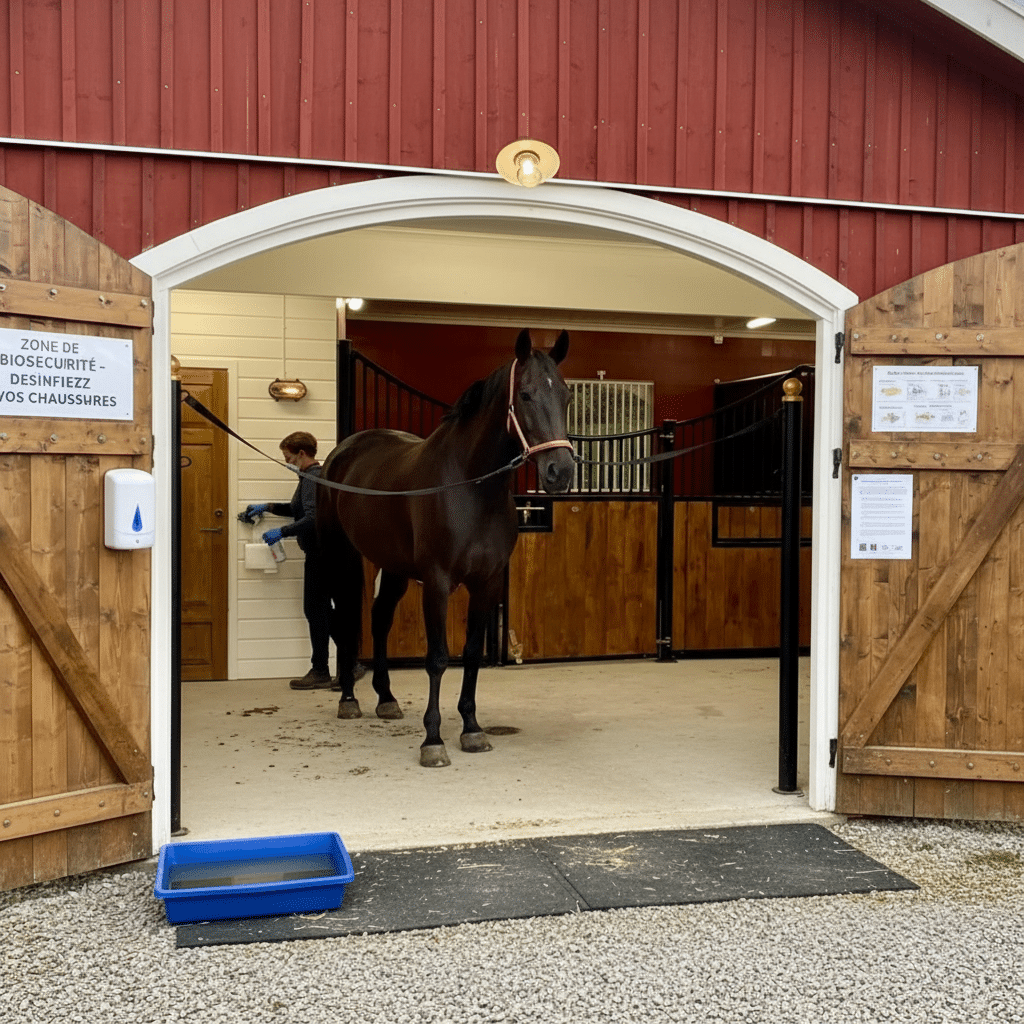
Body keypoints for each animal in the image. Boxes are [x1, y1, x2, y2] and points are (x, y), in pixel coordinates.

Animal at [316, 328, 574, 767]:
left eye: (567, 396)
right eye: (525, 394)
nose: (561, 472)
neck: (469, 485)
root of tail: (341, 452)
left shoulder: (486, 583)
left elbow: (470, 654)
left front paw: (471, 729)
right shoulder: (437, 583)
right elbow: (437, 658)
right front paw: (432, 740)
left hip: (394, 566)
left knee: (379, 618)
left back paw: (386, 699)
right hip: (343, 555)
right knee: (349, 617)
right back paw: (350, 699)